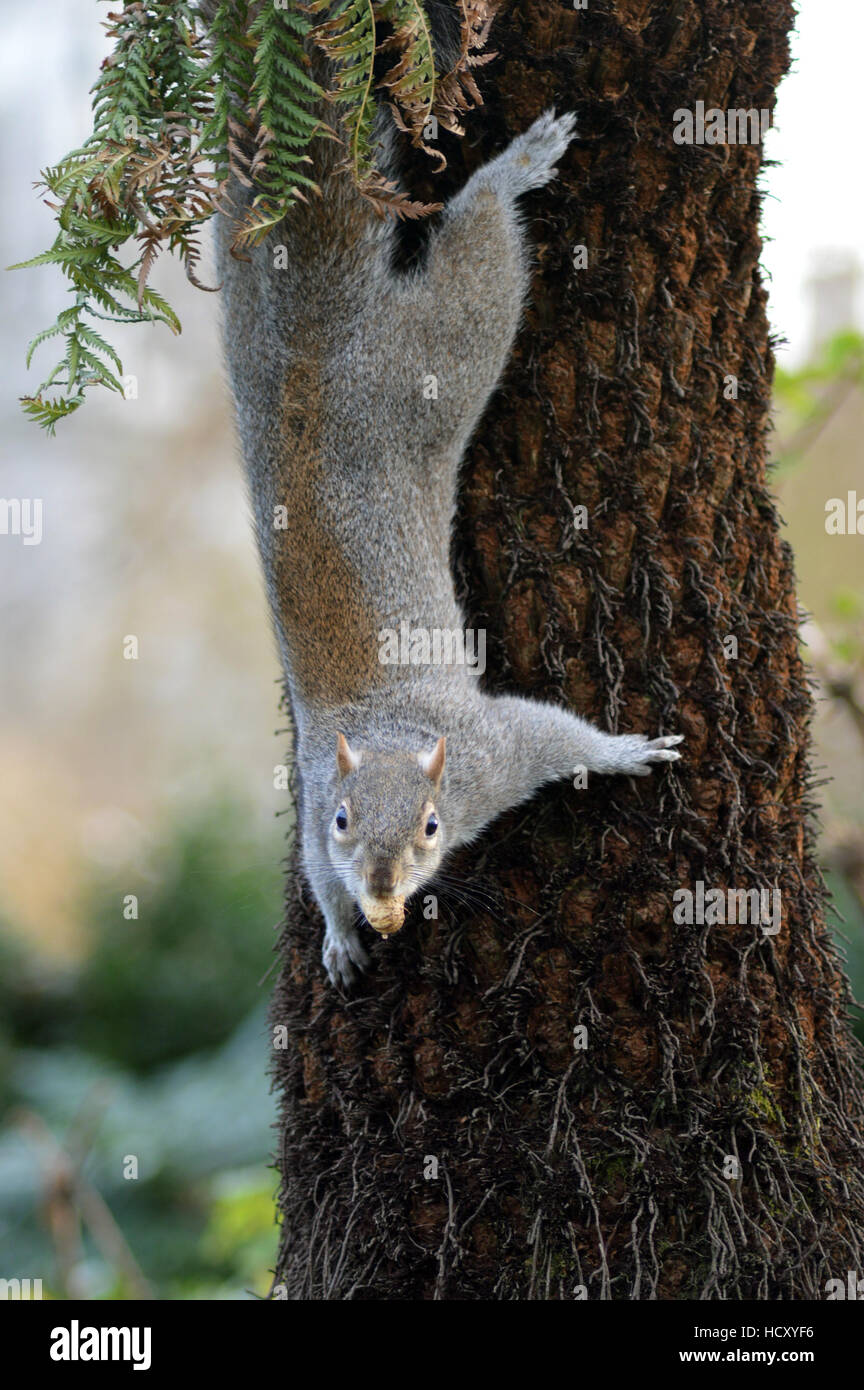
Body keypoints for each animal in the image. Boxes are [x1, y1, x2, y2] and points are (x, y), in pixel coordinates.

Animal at [215, 21, 683, 987]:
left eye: (433, 827)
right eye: (344, 819)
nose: (383, 889)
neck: (394, 741)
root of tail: (316, 360)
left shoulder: (492, 752)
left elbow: (556, 737)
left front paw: (625, 751)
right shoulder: (315, 819)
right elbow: (317, 875)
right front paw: (341, 933)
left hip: (439, 357)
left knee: (479, 249)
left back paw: (516, 169)